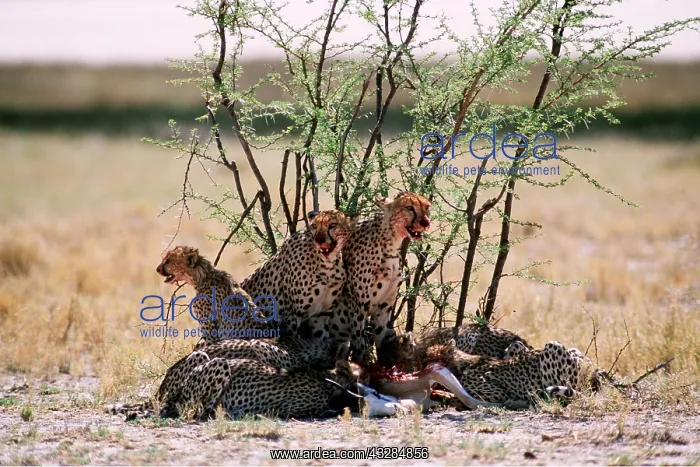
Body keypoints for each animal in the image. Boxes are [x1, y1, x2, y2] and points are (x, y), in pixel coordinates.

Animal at [241, 210, 357, 340]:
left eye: (332, 225)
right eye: (314, 226)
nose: (319, 240)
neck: (327, 266)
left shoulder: (320, 316)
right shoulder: (292, 314)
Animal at [328, 192, 432, 364]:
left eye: (427, 207)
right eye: (409, 208)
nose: (425, 222)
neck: (390, 244)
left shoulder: (384, 306)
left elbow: (381, 339)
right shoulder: (358, 309)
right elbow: (359, 346)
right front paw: (359, 366)